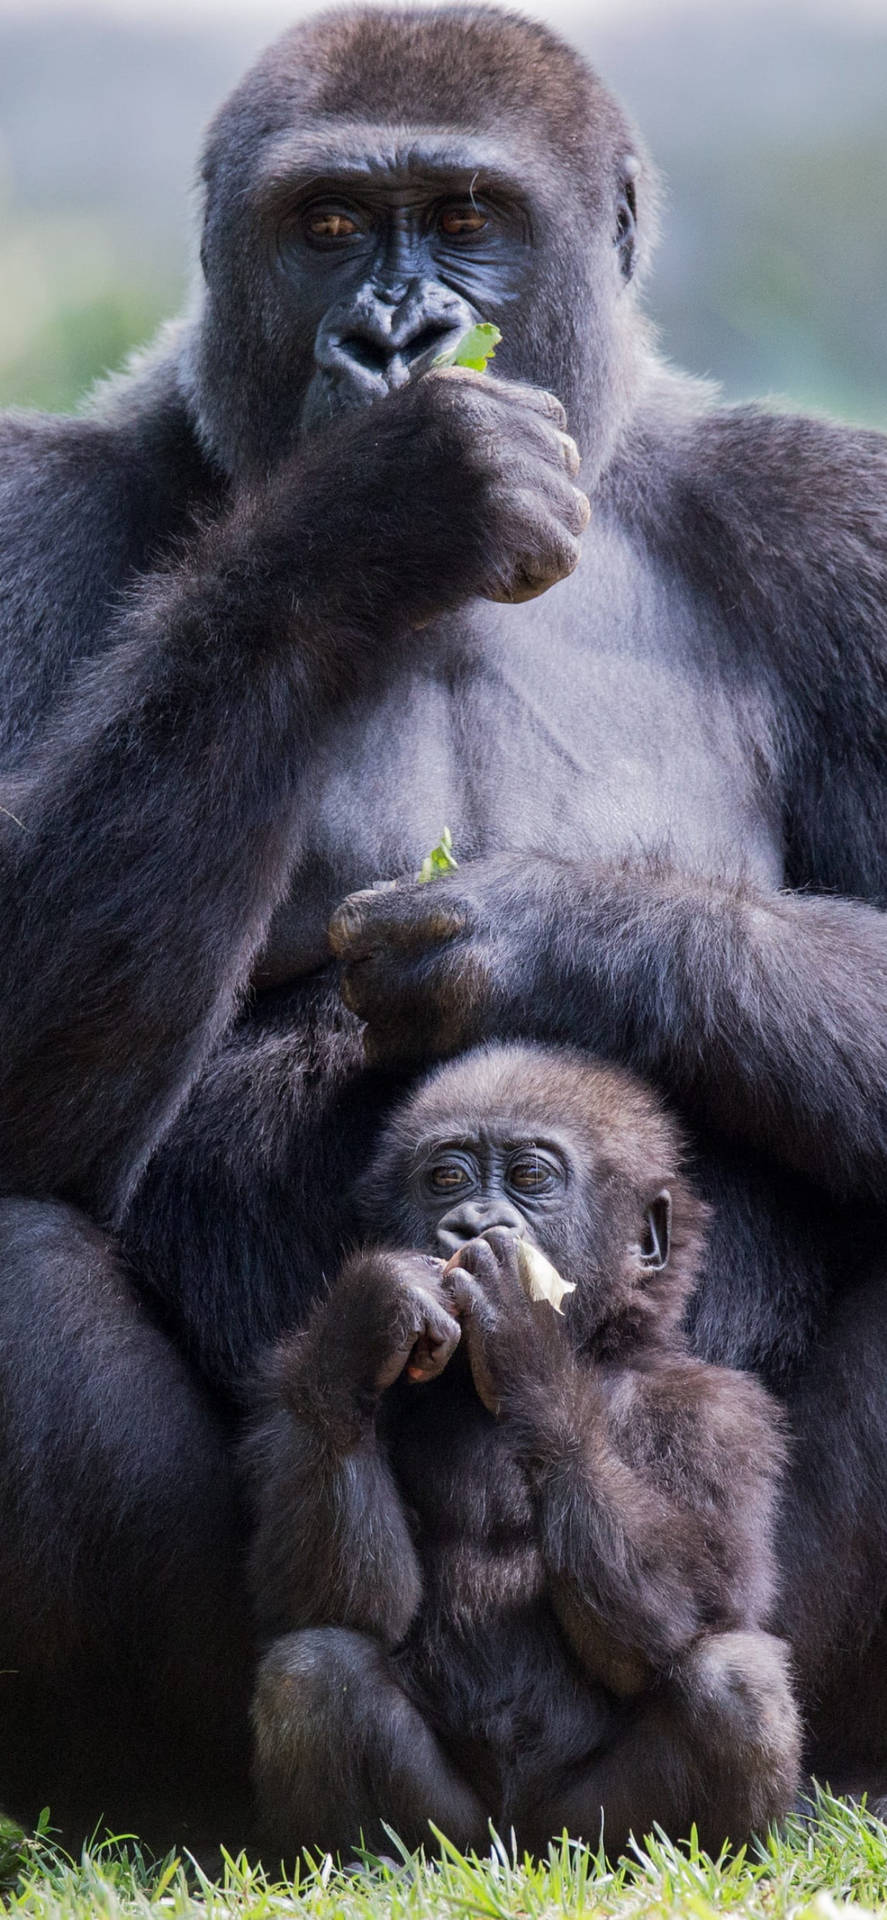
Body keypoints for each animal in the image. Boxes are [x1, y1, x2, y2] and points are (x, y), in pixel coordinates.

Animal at [246, 1044, 801, 1860]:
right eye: (447, 1178)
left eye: (531, 1177)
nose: (471, 1223)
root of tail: (518, 1849)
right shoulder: (291, 1390)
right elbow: (335, 1600)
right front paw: (371, 1314)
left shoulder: (723, 1415)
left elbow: (696, 1608)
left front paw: (524, 1339)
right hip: (454, 1834)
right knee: (314, 1667)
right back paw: (359, 1865)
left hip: (584, 1833)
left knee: (733, 1679)